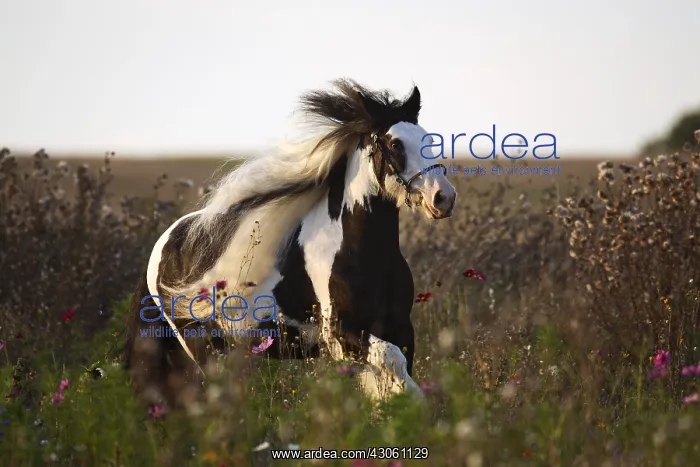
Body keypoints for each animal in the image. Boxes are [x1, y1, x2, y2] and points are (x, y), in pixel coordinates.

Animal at [123, 78, 457, 408]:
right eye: (394, 144)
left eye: (428, 140)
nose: (443, 197)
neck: (367, 253)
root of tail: (164, 243)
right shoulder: (341, 335)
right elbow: (393, 362)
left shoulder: (399, 328)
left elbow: (390, 380)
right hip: (202, 348)